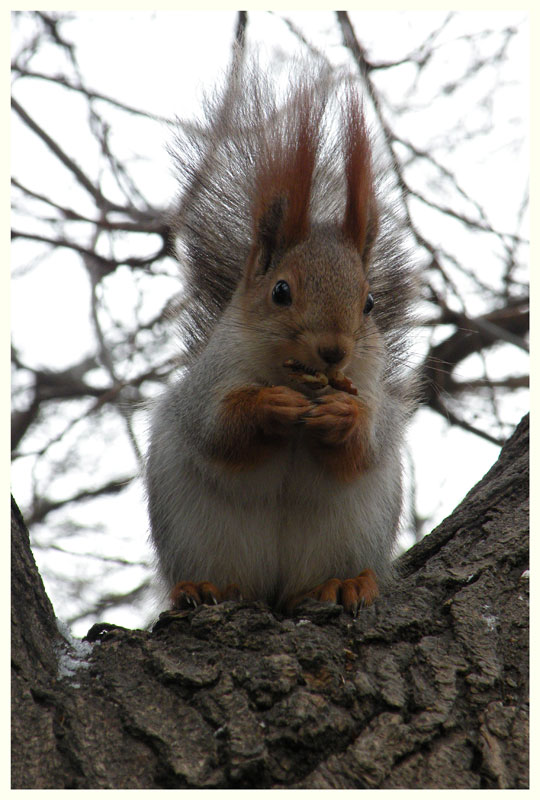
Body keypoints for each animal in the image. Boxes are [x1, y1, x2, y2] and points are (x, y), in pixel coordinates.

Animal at [144, 54, 418, 620]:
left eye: (370, 303)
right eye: (281, 291)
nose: (334, 351)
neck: (297, 377)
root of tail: (273, 588)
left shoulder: (371, 390)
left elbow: (366, 442)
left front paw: (343, 416)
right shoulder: (207, 383)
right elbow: (217, 429)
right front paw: (269, 405)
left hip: (357, 529)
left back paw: (344, 584)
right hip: (194, 532)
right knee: (222, 578)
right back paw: (203, 588)